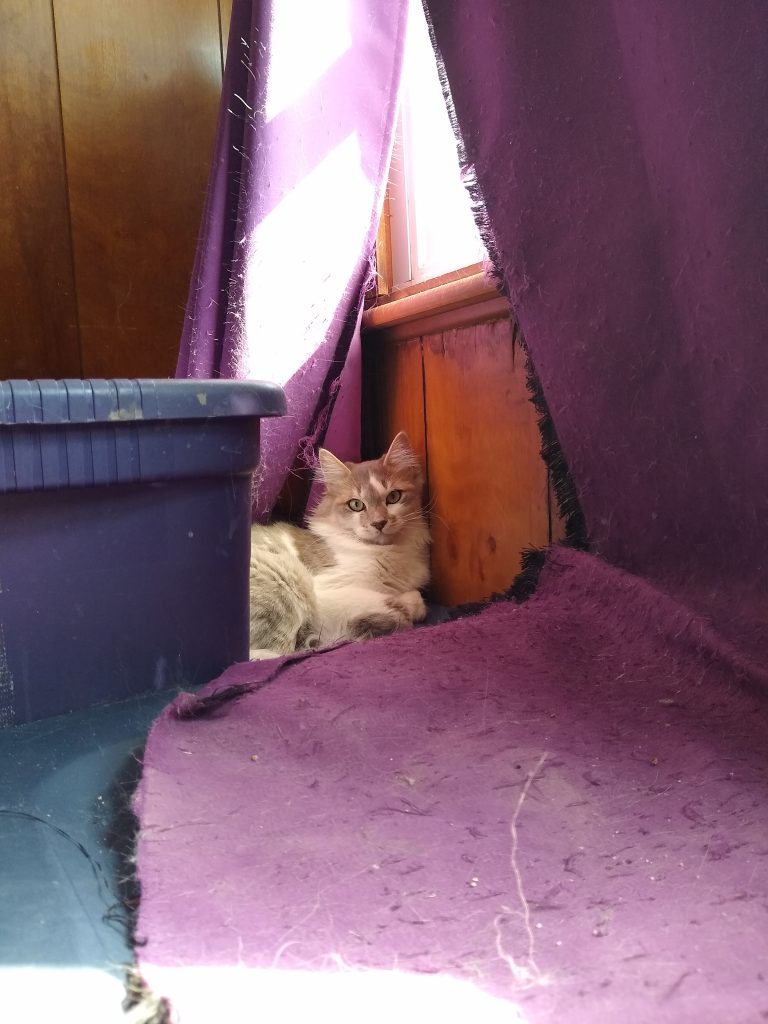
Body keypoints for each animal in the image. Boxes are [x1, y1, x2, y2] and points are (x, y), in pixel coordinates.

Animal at [252, 430, 434, 655]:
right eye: (356, 505)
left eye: (393, 497)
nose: (379, 523)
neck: (387, 552)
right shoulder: (329, 592)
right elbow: (394, 601)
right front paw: (406, 607)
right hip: (284, 581)